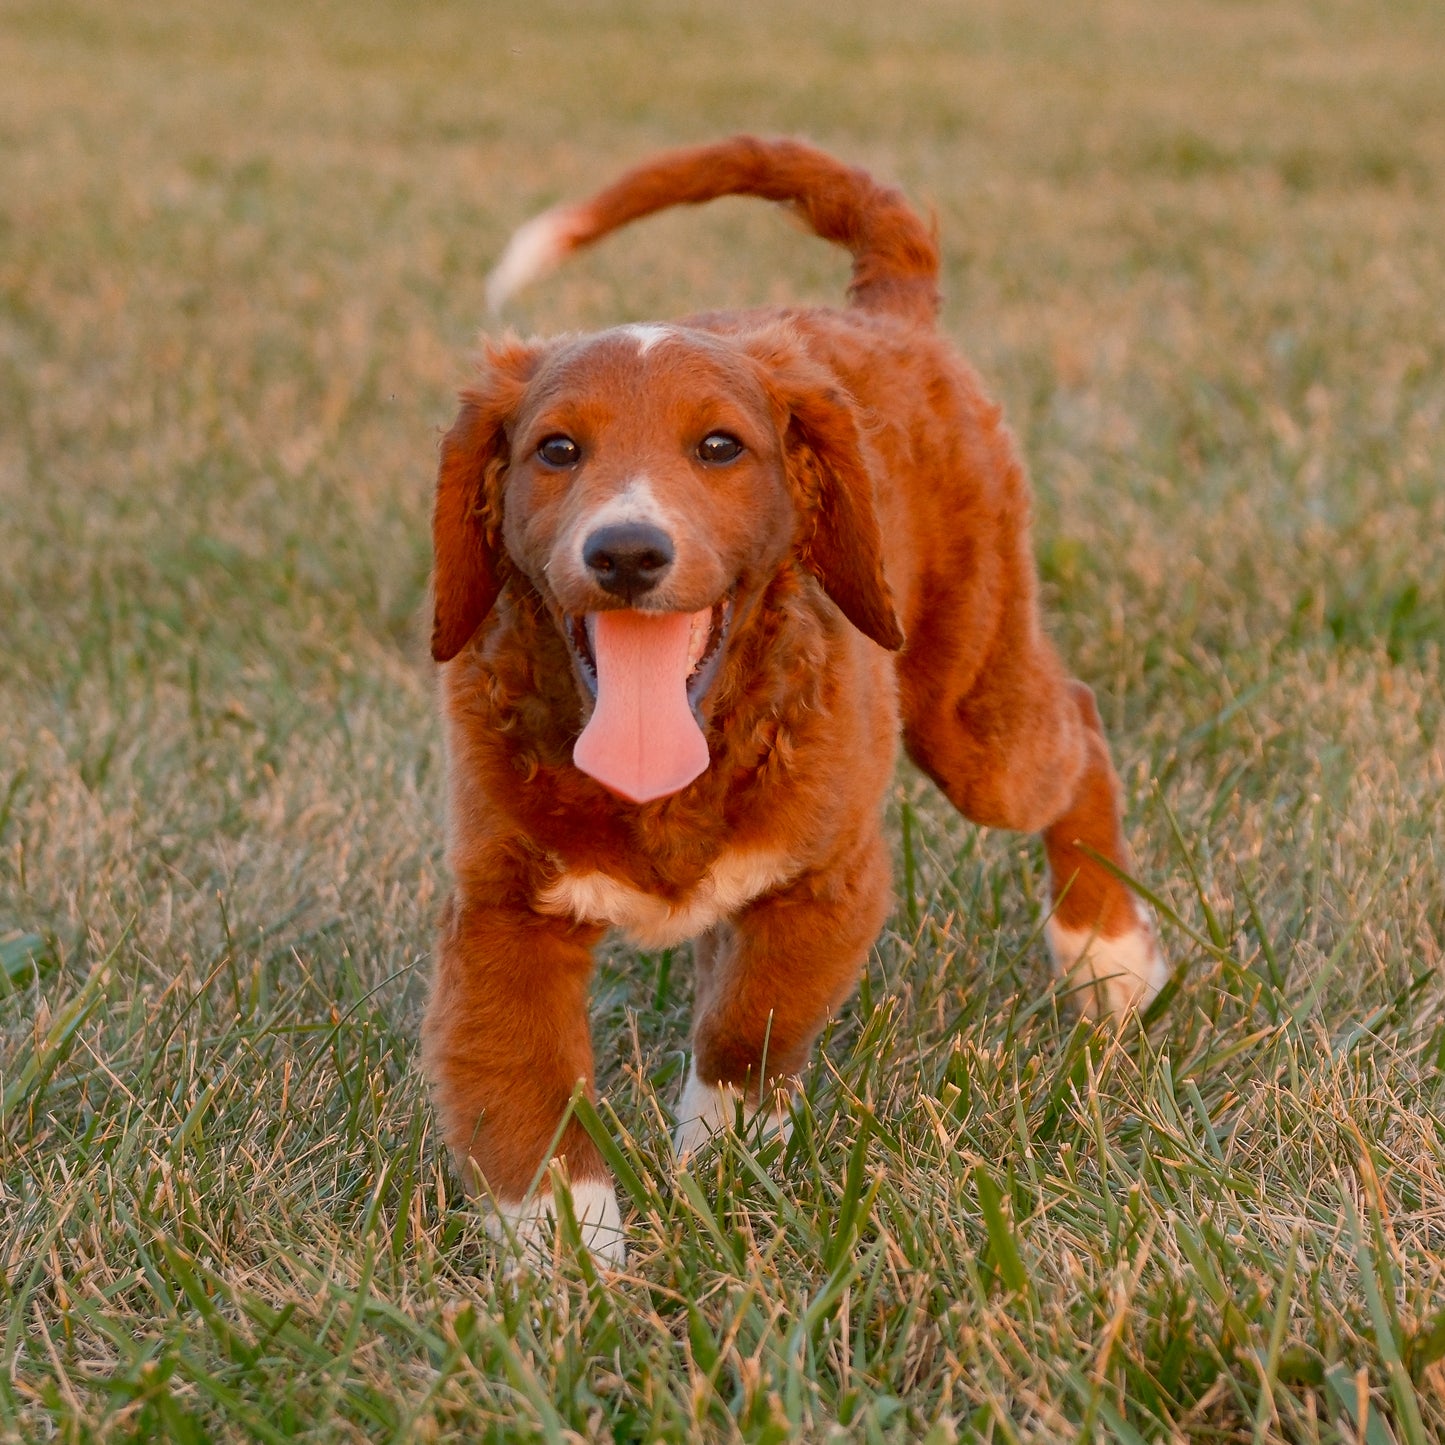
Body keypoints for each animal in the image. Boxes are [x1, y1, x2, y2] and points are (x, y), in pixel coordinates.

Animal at [421, 137, 1167, 1265]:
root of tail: (886, 312)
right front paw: (568, 1266)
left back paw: (1105, 957)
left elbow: (746, 1032)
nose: (626, 551)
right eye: (556, 450)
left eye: (719, 447)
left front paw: (716, 1168)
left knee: (1073, 729)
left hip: (967, 701)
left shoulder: (829, 880)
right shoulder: (503, 910)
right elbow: (524, 1094)